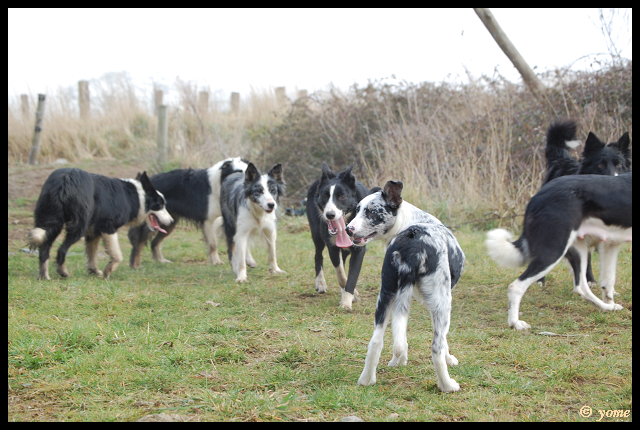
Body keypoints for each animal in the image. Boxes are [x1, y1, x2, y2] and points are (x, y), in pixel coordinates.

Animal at [29, 168, 172, 282]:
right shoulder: (108, 227)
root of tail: (66, 178)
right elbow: (117, 255)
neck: (136, 196)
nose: (171, 221)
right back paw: (63, 272)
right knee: (61, 249)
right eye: (160, 205)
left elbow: (92, 253)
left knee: (44, 249)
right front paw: (107, 271)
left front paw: (93, 271)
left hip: (50, 220)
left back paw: (44, 276)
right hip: (78, 225)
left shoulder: (93, 232)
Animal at [306, 164, 380, 310]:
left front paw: (346, 301)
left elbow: (351, 277)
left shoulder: (359, 250)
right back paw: (320, 283)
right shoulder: (332, 247)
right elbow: (341, 274)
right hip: (317, 234)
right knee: (318, 255)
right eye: (324, 196)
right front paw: (352, 295)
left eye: (342, 197)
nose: (330, 215)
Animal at [344, 181, 464, 394]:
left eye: (371, 211)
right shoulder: (439, 307)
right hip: (442, 304)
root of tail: (412, 244)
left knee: (376, 341)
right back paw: (447, 385)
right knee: (436, 348)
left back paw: (367, 380)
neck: (408, 222)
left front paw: (398, 361)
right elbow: (444, 341)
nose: (348, 229)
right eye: (358, 210)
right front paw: (450, 359)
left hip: (385, 297)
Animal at [488, 173, 632, 330]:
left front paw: (610, 304)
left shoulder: (610, 244)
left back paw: (607, 308)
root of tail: (537, 197)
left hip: (579, 250)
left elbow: (608, 282)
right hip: (554, 251)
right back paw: (515, 323)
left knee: (581, 287)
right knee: (516, 286)